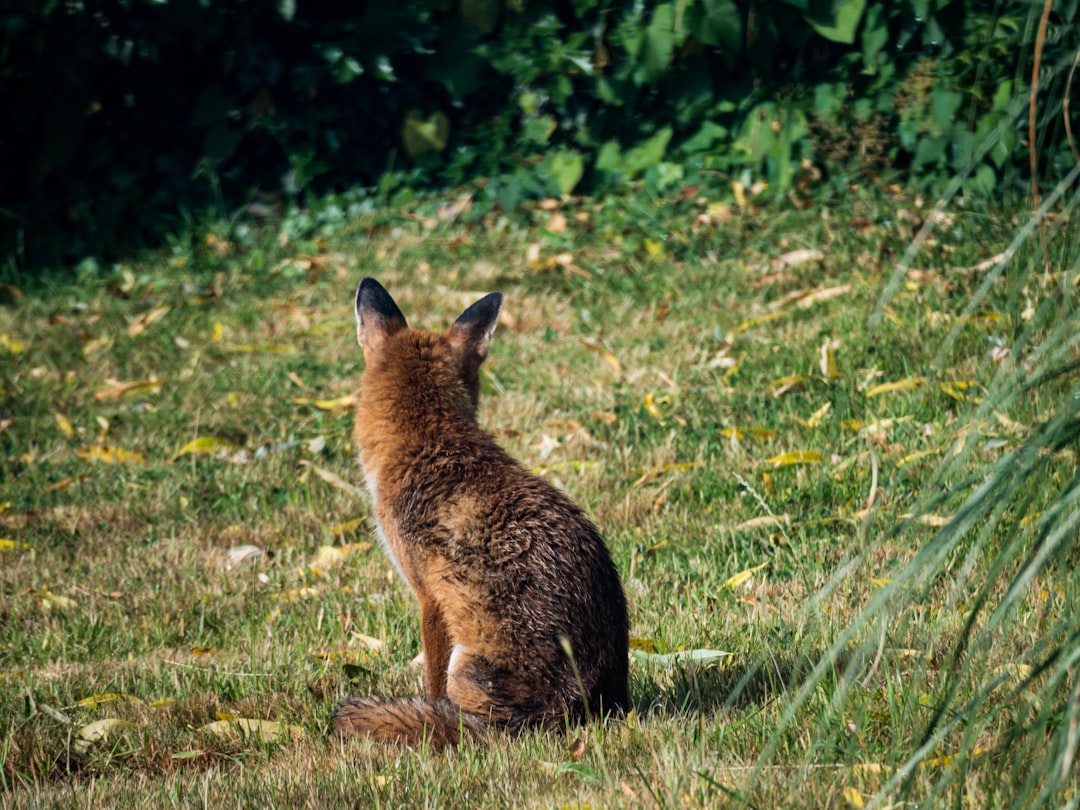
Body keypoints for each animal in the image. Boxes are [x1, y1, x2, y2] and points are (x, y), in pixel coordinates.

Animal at [332, 278, 630, 747]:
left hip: (464, 667)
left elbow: (431, 685)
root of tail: (578, 710)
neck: (432, 443)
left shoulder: (428, 597)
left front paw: (427, 710)